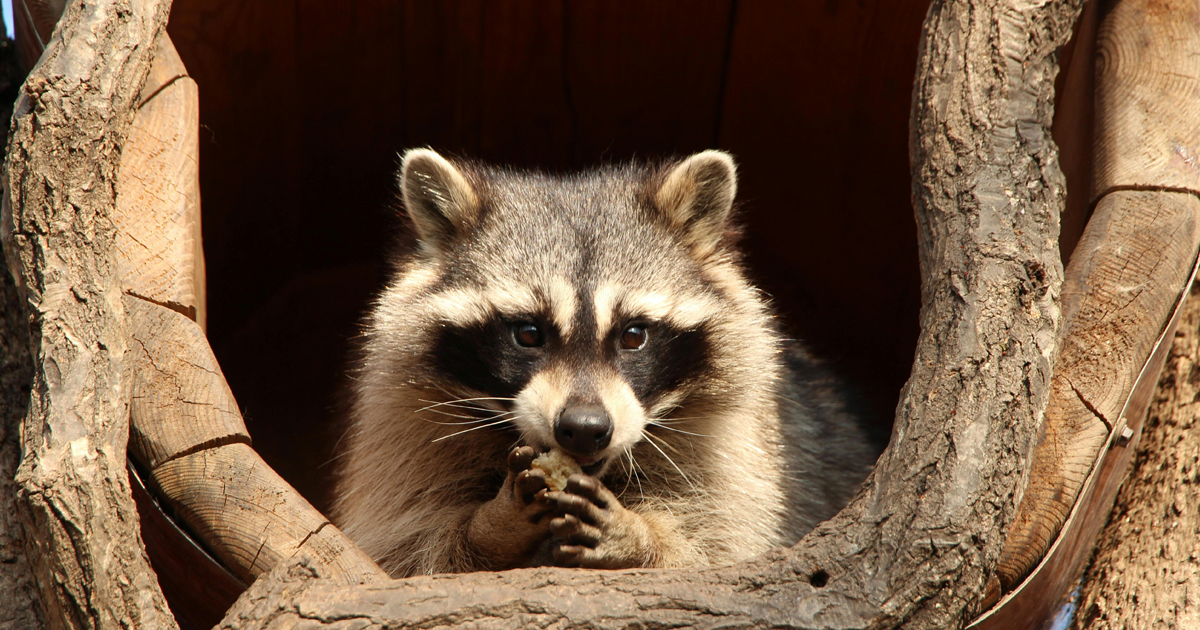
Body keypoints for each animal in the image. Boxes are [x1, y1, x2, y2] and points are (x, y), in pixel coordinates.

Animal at [331, 149, 878, 576]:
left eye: (633, 335)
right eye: (528, 334)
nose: (584, 428)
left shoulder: (745, 447)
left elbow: (724, 547)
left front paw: (641, 537)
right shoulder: (405, 426)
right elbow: (404, 546)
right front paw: (490, 527)